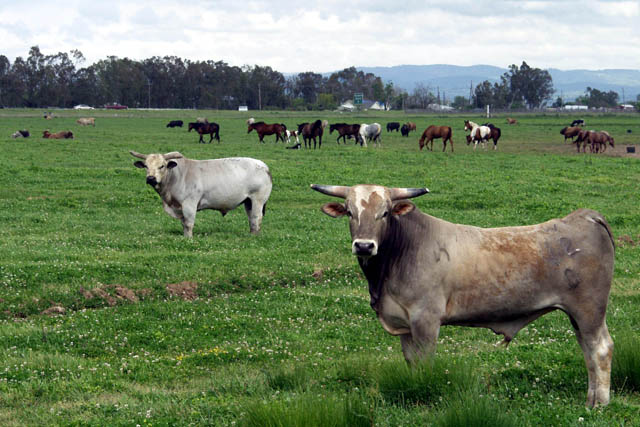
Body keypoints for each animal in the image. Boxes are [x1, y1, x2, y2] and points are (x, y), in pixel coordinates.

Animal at [130, 151, 272, 237]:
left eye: (162, 166)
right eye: (146, 166)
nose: (151, 178)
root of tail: (263, 166)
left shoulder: (189, 204)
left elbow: (188, 224)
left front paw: (188, 238)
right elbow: (183, 224)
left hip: (258, 200)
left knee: (256, 217)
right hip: (248, 201)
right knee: (251, 218)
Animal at [311, 183, 615, 408]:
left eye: (385, 213)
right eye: (349, 212)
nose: (364, 245)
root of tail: (584, 216)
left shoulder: (425, 320)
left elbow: (425, 363)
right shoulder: (405, 324)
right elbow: (411, 362)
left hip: (589, 310)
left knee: (599, 348)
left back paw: (599, 404)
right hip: (578, 316)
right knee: (587, 350)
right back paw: (590, 398)